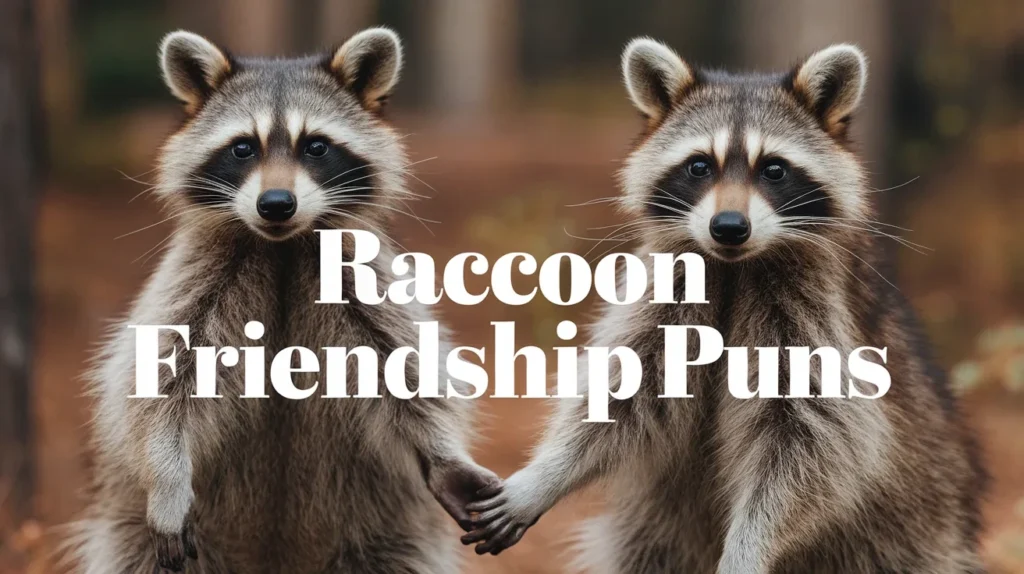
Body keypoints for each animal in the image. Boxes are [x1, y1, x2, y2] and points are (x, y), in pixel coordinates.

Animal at [67, 28, 498, 574]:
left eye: (315, 146)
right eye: (242, 148)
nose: (275, 204)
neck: (281, 247)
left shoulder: (360, 278)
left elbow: (407, 369)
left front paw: (444, 458)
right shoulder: (194, 279)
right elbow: (158, 380)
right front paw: (166, 477)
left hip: (387, 529)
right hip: (132, 529)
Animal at [462, 40, 986, 573]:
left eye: (774, 169)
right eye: (699, 166)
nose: (729, 226)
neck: (736, 267)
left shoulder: (817, 309)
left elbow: (810, 440)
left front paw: (750, 545)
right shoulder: (671, 286)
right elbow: (626, 390)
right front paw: (545, 475)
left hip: (908, 537)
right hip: (654, 532)